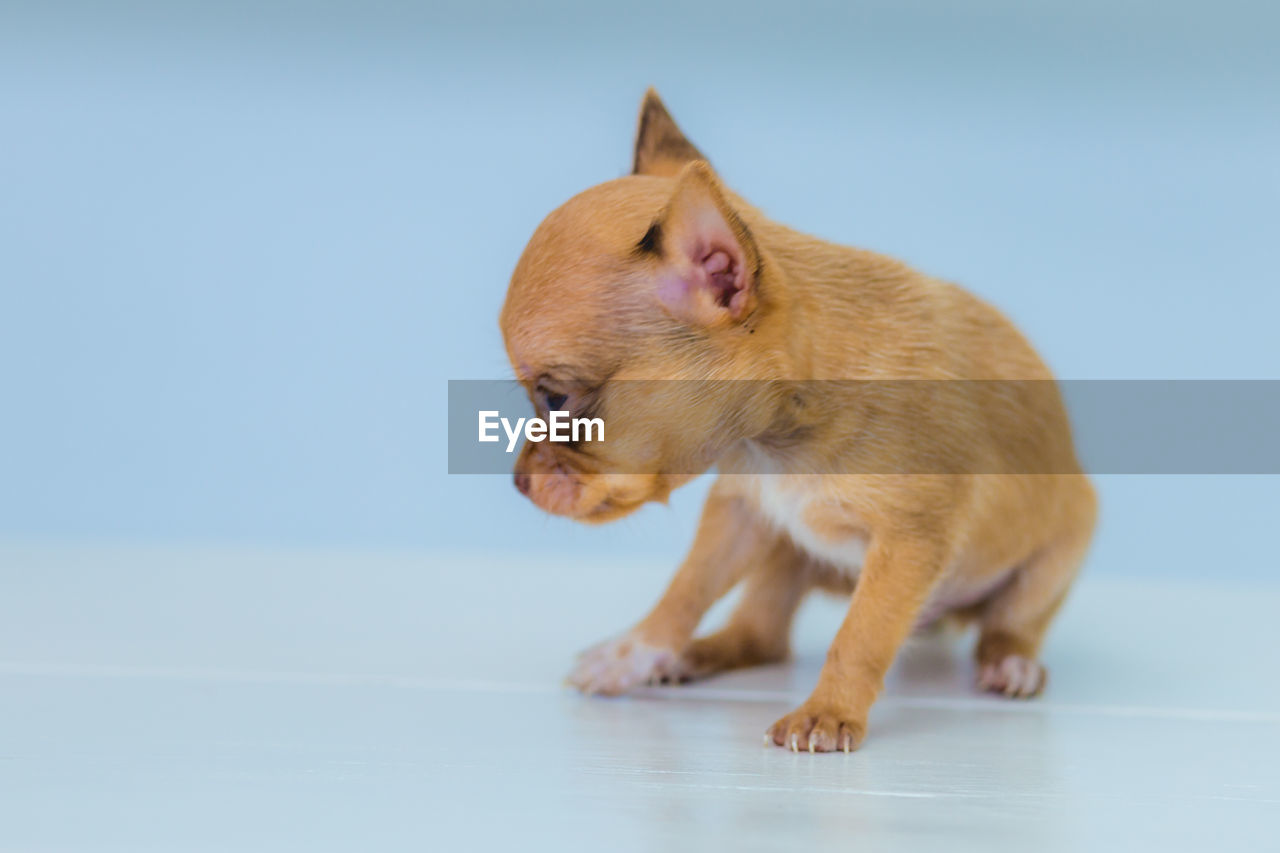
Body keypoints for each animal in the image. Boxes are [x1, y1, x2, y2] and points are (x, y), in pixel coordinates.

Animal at [496, 89, 1090, 747]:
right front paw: (634, 653)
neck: (778, 438)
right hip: (784, 552)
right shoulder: (741, 512)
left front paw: (829, 712)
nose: (518, 482)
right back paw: (692, 655)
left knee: (1010, 623)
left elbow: (860, 635)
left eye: (554, 399)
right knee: (761, 635)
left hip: (1054, 560)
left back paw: (1010, 663)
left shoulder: (908, 544)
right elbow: (686, 587)